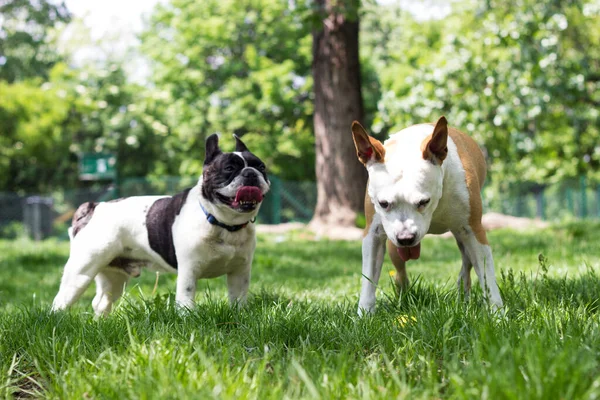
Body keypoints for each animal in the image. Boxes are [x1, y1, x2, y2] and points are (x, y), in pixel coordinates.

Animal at [50, 134, 270, 316]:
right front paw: (187, 319)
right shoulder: (189, 270)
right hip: (81, 271)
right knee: (60, 301)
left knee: (102, 301)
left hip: (113, 275)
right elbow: (186, 299)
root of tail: (94, 207)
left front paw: (240, 316)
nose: (250, 173)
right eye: (229, 169)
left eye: (261, 167)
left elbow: (238, 298)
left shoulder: (239, 272)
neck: (223, 224)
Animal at [350, 115, 504, 316]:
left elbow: (487, 276)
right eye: (383, 204)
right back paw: (403, 293)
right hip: (394, 247)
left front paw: (498, 314)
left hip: (461, 235)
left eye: (423, 201)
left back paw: (463, 293)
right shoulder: (373, 234)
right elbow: (368, 278)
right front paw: (365, 315)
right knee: (400, 270)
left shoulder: (473, 231)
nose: (406, 238)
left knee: (467, 260)